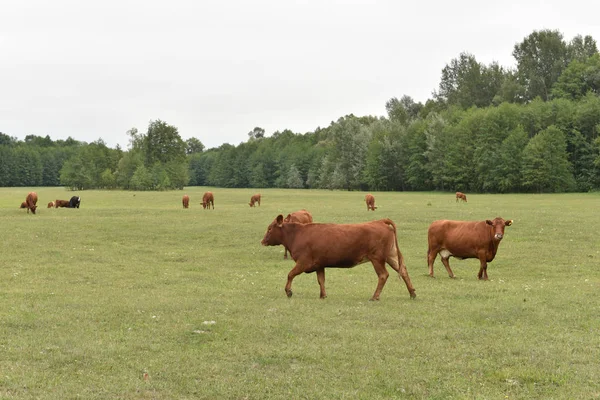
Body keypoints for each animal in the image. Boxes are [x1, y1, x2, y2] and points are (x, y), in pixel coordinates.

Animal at [260, 216, 414, 300]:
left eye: (269, 228)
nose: (262, 241)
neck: (297, 234)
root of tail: (379, 221)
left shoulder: (303, 262)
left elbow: (290, 274)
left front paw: (289, 291)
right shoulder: (319, 265)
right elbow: (321, 280)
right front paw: (323, 295)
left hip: (377, 258)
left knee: (383, 275)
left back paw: (375, 296)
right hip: (391, 255)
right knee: (403, 270)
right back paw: (412, 293)